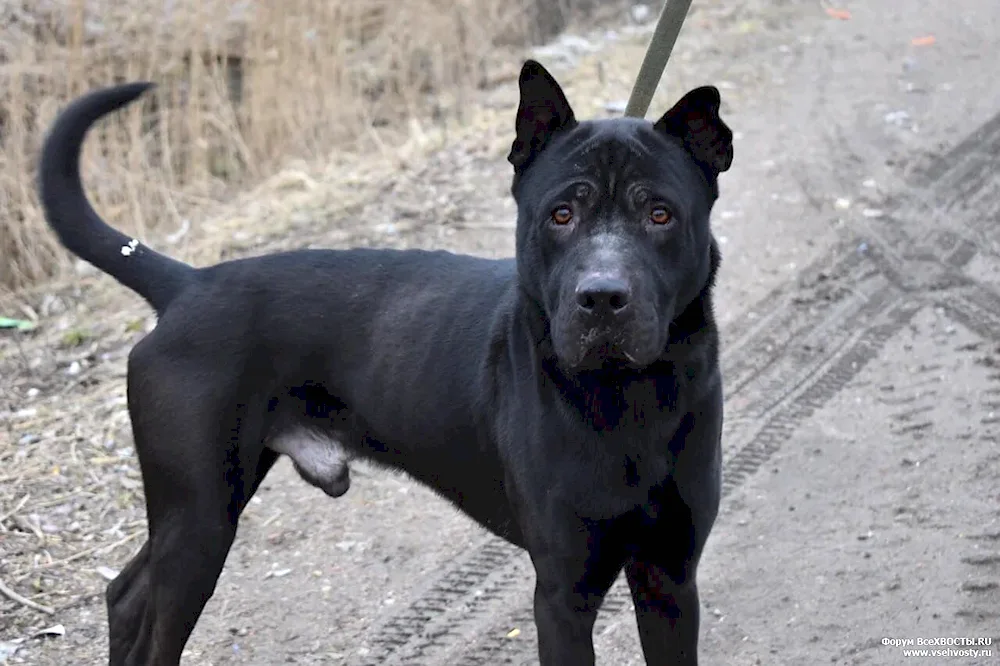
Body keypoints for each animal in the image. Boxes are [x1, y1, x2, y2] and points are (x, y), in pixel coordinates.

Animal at [37, 59, 736, 660]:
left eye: (660, 214)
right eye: (561, 214)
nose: (602, 298)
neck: (630, 399)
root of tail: (187, 284)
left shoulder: (670, 578)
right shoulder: (564, 594)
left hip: (197, 509)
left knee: (127, 596)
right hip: (198, 514)